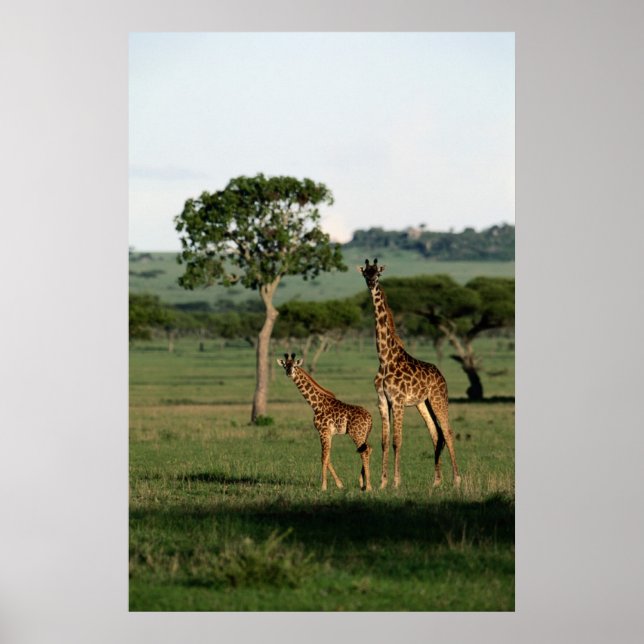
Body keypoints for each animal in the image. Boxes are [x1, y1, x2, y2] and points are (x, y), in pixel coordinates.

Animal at [277, 352, 373, 491]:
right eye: (285, 365)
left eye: (295, 366)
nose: (289, 373)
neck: (316, 405)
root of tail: (370, 418)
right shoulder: (329, 434)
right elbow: (328, 457)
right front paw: (339, 484)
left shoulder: (323, 431)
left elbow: (323, 457)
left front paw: (323, 486)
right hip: (364, 434)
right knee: (368, 449)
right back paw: (362, 483)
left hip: (356, 434)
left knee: (364, 452)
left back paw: (368, 486)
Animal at [358, 258, 461, 489]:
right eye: (365, 273)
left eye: (378, 273)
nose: (371, 283)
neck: (384, 358)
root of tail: (441, 376)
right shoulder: (382, 401)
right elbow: (384, 441)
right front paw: (382, 482)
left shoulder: (397, 401)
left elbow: (397, 441)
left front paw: (396, 482)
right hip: (424, 403)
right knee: (436, 434)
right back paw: (436, 481)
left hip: (439, 399)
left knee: (448, 432)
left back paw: (457, 480)